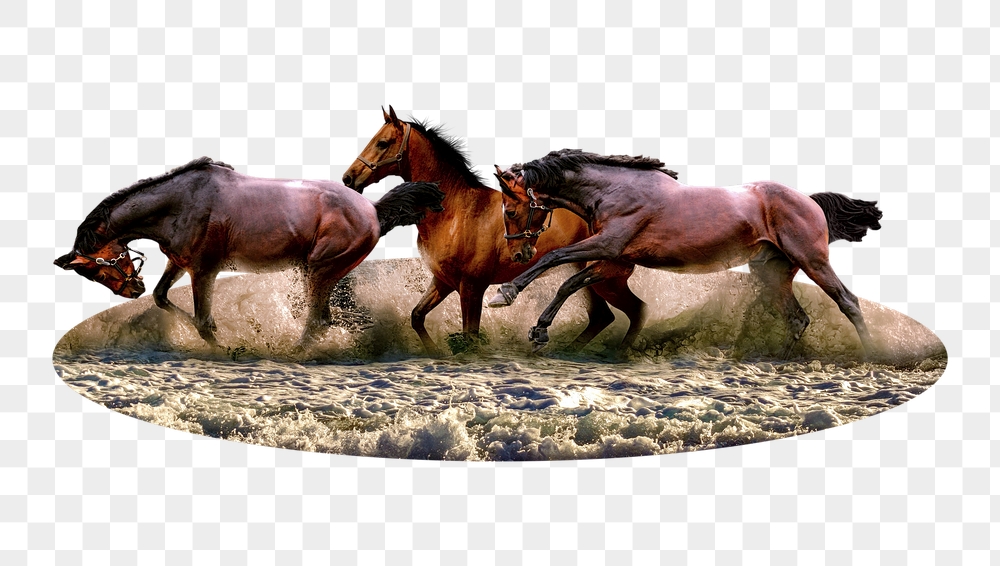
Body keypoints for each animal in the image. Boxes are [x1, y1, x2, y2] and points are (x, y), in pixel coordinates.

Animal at [55, 157, 444, 348]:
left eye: (99, 266)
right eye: (92, 273)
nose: (132, 289)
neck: (181, 202)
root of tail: (373, 210)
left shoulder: (204, 270)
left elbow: (203, 322)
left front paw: (224, 349)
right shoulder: (179, 263)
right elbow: (163, 298)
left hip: (320, 270)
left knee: (317, 321)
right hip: (321, 273)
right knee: (326, 319)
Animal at [340, 106, 646, 355]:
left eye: (382, 142)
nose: (348, 178)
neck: (456, 212)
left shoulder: (471, 287)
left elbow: (470, 336)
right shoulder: (443, 282)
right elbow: (417, 316)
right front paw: (435, 353)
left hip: (605, 279)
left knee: (633, 311)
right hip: (591, 280)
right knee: (603, 316)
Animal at [489, 149, 883, 359]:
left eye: (510, 210)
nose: (519, 251)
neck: (614, 190)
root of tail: (809, 201)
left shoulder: (607, 246)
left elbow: (553, 260)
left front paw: (504, 294)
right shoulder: (615, 260)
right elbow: (569, 283)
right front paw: (539, 330)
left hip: (812, 261)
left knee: (848, 302)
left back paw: (874, 353)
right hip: (772, 273)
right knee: (797, 319)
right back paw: (776, 361)